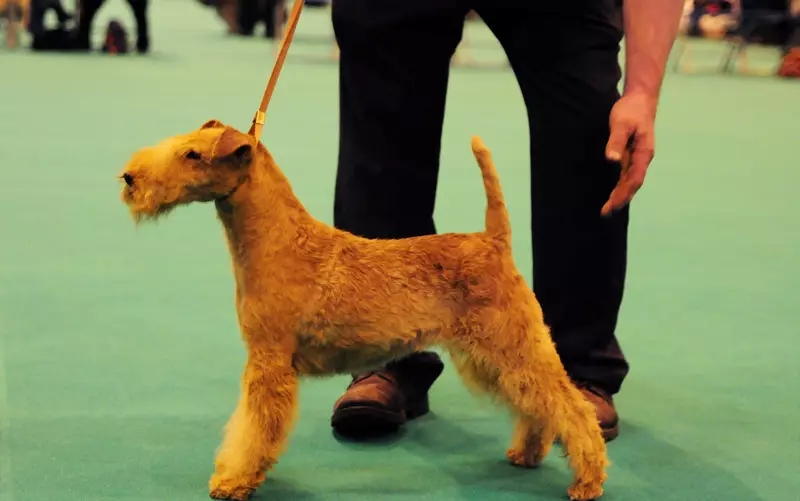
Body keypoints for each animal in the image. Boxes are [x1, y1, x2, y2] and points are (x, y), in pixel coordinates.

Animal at [117, 120, 608, 500]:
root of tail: (494, 240)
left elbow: (253, 429)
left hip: (512, 346)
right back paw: (527, 453)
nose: (129, 178)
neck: (277, 239)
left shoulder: (268, 361)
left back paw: (588, 479)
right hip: (492, 358)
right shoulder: (265, 359)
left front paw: (233, 480)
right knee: (537, 408)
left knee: (572, 408)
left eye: (193, 154)